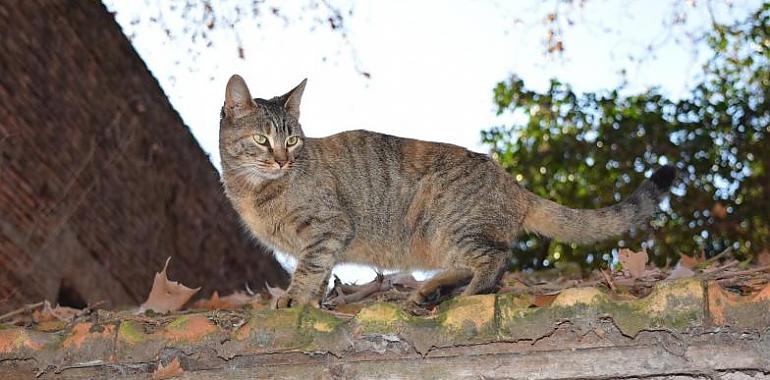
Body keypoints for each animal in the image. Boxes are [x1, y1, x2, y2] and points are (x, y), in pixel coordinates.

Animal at [218, 75, 672, 308]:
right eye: (262, 140)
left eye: (292, 140)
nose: (282, 160)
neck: (253, 190)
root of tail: (513, 183)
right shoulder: (323, 241)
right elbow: (321, 274)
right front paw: (313, 302)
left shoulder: (329, 228)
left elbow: (309, 269)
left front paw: (293, 300)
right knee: (470, 264)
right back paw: (430, 290)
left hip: (451, 226)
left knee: (493, 262)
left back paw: (460, 293)